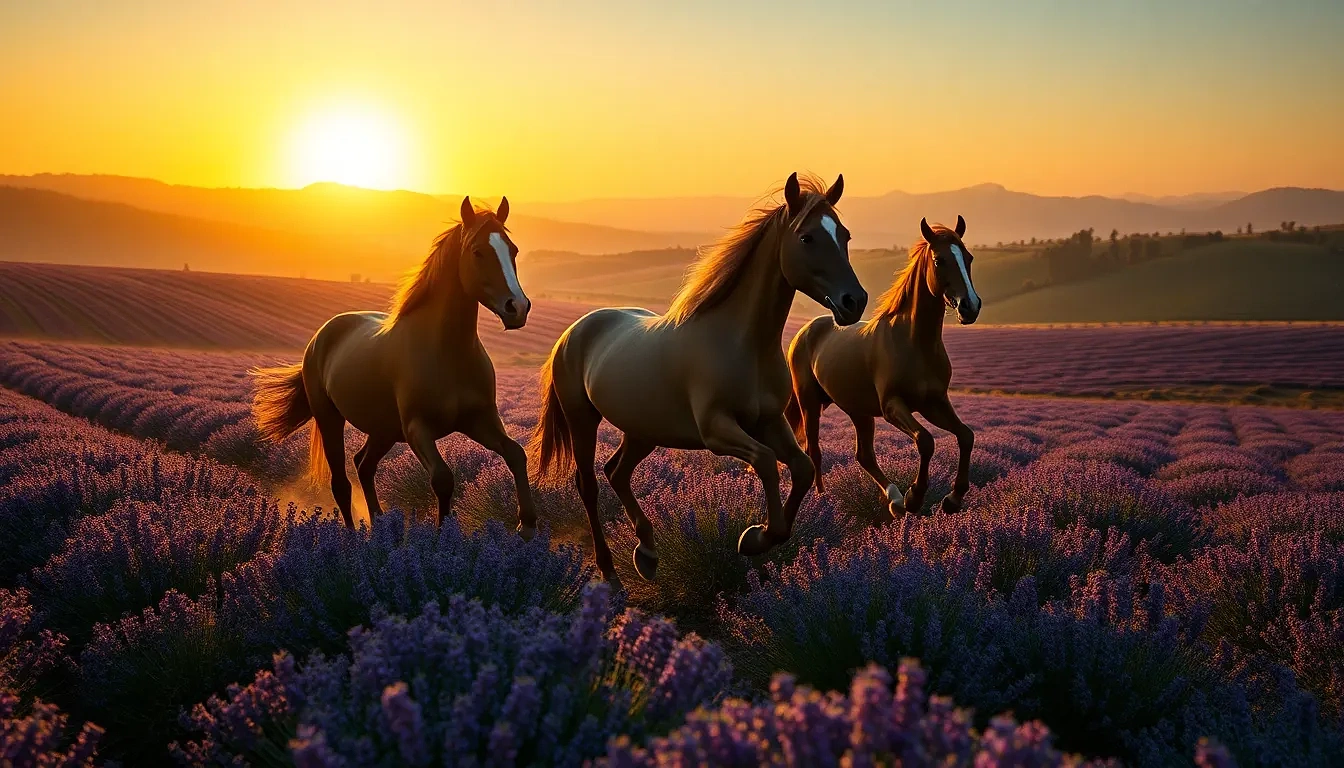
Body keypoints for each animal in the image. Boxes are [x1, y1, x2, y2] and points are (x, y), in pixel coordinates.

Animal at [250, 197, 536, 535]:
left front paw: (527, 526)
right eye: (478, 251)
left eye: (513, 250)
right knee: (341, 482)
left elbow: (516, 454)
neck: (447, 353)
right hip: (330, 418)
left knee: (364, 465)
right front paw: (442, 537)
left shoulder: (480, 420)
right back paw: (354, 537)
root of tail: (322, 335)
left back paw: (380, 525)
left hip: (383, 430)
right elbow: (443, 478)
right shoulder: (417, 428)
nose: (517, 307)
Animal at [527, 173, 867, 583]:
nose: (854, 301)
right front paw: (754, 538)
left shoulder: (769, 421)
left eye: (844, 234)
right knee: (589, 484)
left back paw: (647, 553)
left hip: (644, 429)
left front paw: (760, 537)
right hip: (582, 420)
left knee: (617, 472)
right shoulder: (716, 430)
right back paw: (609, 570)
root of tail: (573, 332)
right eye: (807, 238)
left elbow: (800, 468)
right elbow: (767, 461)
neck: (740, 342)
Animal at [785, 216, 981, 519]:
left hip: (858, 410)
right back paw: (822, 500)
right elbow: (925, 440)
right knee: (814, 449)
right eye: (939, 260)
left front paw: (952, 499)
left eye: (968, 257)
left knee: (864, 455)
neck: (914, 342)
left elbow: (966, 436)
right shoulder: (892, 406)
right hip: (809, 402)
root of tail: (805, 331)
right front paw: (915, 497)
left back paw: (893, 499)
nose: (969, 307)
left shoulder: (934, 403)